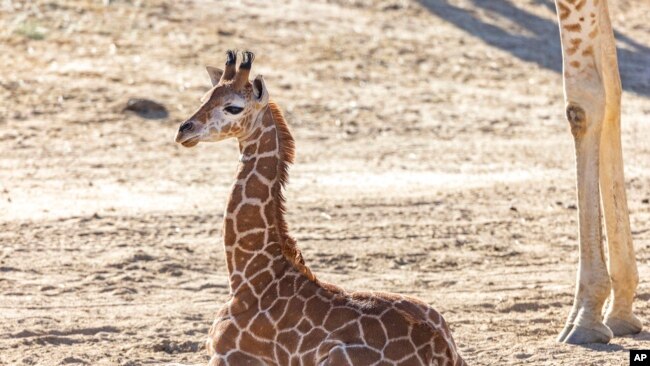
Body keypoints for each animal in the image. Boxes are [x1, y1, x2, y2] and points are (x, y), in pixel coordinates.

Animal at [175, 50, 464, 366]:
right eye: (205, 97)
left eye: (234, 107)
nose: (183, 131)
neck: (251, 279)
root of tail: (441, 349)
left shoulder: (229, 357)